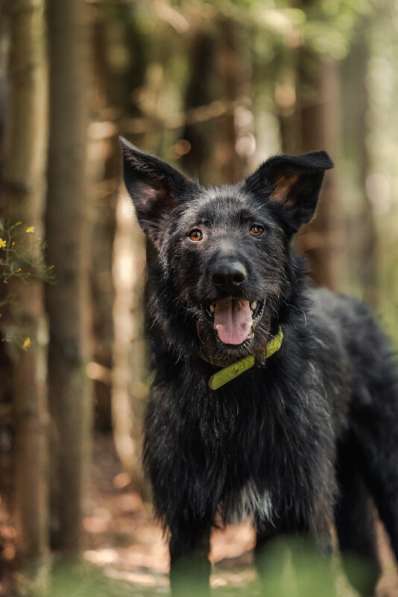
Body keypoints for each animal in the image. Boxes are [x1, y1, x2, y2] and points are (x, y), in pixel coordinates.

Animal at [119, 137, 398, 592]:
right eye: (195, 234)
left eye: (256, 229)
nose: (228, 276)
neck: (236, 384)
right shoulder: (188, 521)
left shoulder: (304, 514)